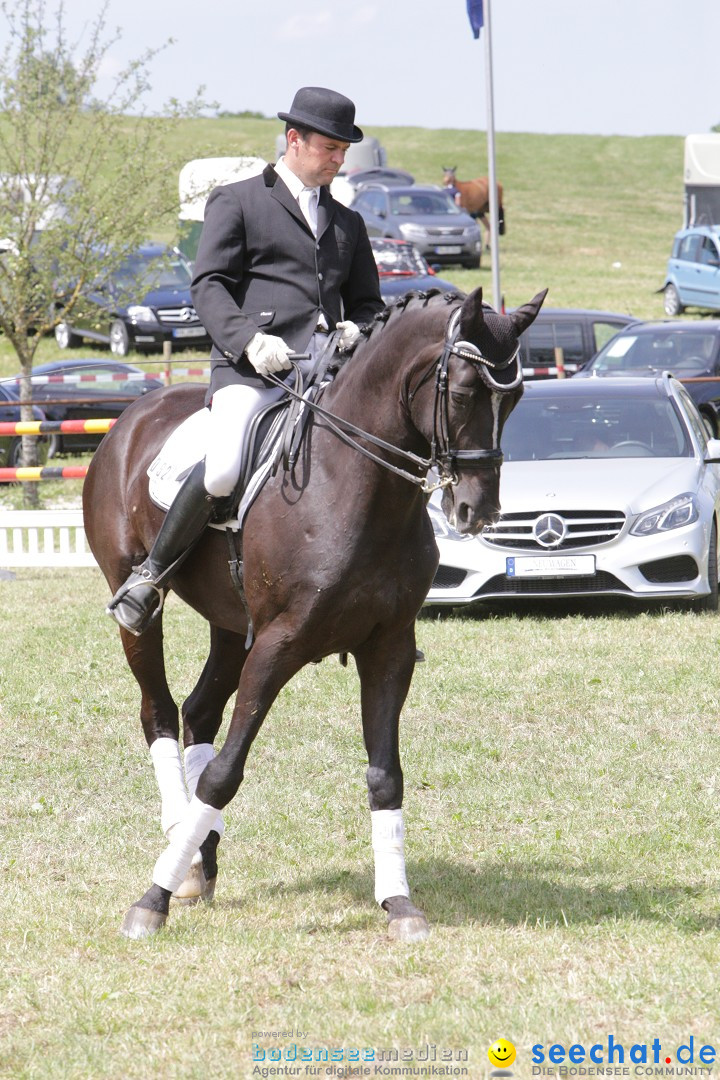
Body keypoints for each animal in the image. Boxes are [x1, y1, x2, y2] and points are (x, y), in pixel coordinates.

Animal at [83, 282, 546, 941]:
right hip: (143, 604)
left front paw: (399, 904)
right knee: (161, 713)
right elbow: (226, 773)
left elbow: (385, 775)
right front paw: (152, 900)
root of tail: (131, 416)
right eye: (460, 392)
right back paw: (178, 841)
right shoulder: (279, 644)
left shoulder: (388, 647)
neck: (356, 486)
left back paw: (200, 859)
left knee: (199, 713)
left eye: (518, 397)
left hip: (232, 626)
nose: (475, 512)